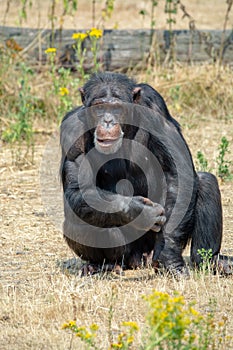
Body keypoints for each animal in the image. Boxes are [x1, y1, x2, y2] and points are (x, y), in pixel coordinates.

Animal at [60, 72, 224, 276]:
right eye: (100, 108)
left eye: (116, 108)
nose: (107, 121)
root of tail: (138, 258)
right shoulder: (71, 129)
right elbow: (80, 189)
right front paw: (140, 210)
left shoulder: (154, 104)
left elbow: (177, 173)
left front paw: (169, 259)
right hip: (126, 252)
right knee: (79, 216)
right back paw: (102, 264)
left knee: (205, 181)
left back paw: (211, 261)